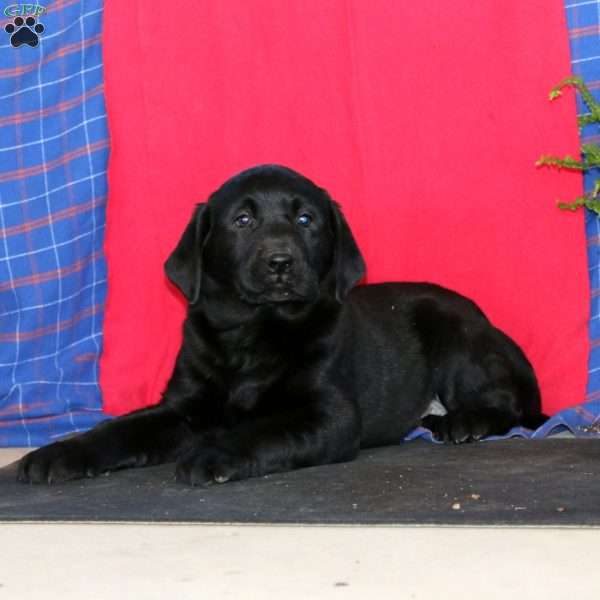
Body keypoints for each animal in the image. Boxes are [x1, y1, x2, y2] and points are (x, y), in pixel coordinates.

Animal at [17, 166, 544, 486]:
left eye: (306, 219)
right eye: (242, 220)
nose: (280, 262)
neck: (254, 333)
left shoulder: (328, 415)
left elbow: (262, 430)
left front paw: (212, 454)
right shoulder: (182, 408)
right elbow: (120, 429)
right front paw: (58, 453)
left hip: (454, 333)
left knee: (511, 407)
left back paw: (463, 422)